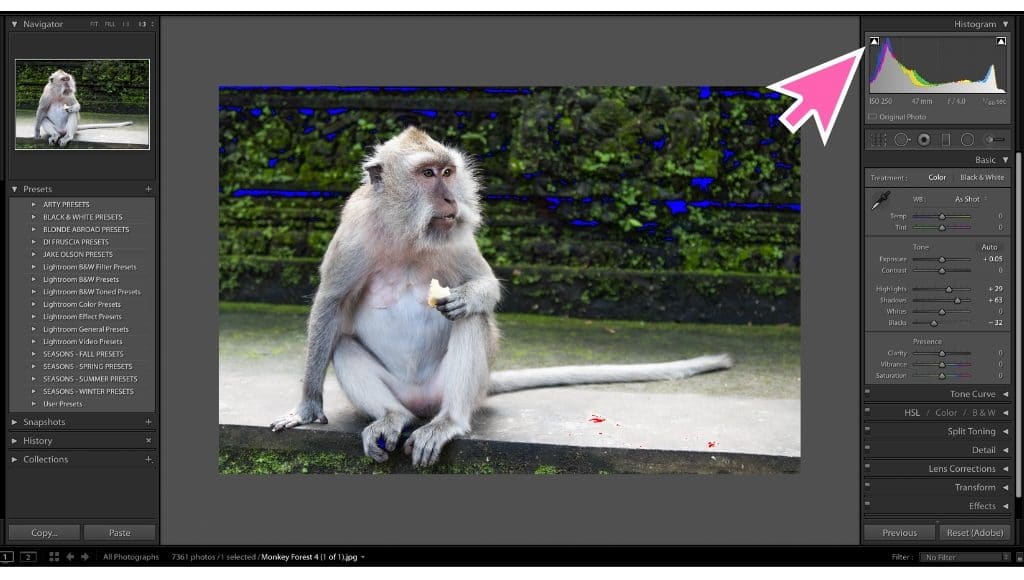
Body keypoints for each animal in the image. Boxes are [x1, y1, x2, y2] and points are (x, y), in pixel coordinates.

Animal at [270, 127, 733, 467]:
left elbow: (486, 286)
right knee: (345, 346)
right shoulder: (354, 232)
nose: (449, 197)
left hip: (459, 390)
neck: (408, 235)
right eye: (427, 175)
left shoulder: (456, 234)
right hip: (401, 392)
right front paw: (307, 408)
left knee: (469, 325)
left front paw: (470, 296)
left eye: (448, 172)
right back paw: (392, 417)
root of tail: (424, 404)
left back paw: (449, 422)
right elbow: (331, 304)